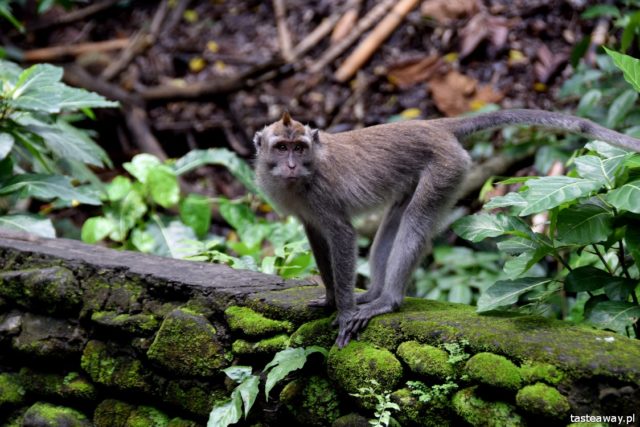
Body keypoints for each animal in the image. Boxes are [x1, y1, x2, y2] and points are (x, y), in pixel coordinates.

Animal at [253, 109, 640, 348]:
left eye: (299, 147)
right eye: (282, 146)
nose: (291, 165)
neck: (304, 176)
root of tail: (434, 125)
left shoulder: (322, 196)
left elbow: (342, 236)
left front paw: (344, 312)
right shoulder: (306, 210)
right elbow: (318, 237)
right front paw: (333, 299)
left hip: (447, 168)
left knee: (413, 222)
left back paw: (387, 301)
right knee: (395, 220)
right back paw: (374, 292)